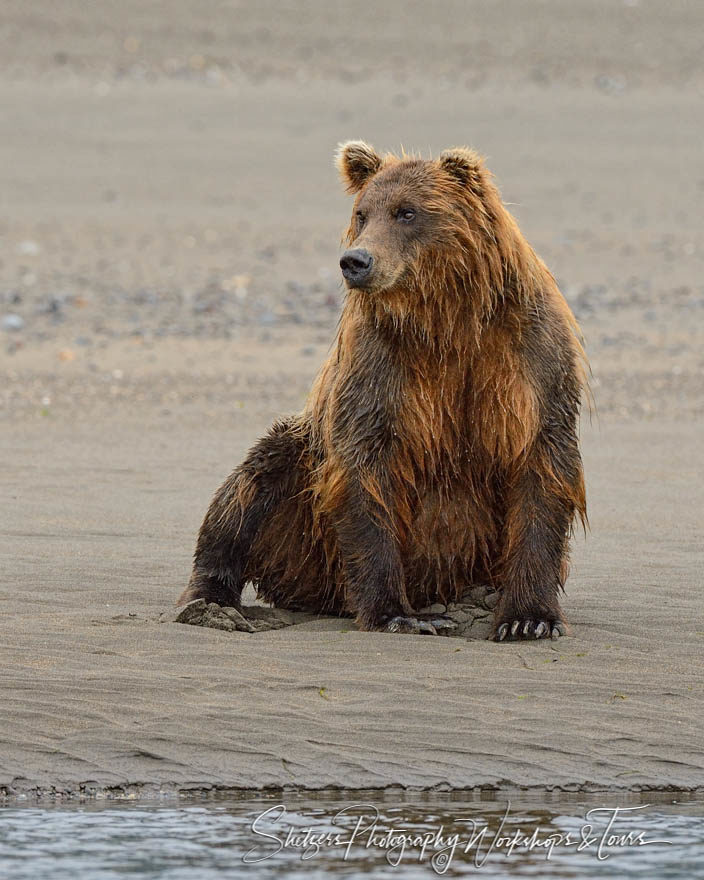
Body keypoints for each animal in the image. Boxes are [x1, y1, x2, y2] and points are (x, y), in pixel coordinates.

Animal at [177, 141, 588, 644]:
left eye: (407, 212)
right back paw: (213, 602)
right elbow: (365, 468)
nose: (355, 261)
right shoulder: (380, 364)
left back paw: (479, 598)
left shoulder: (529, 358)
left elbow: (541, 464)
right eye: (362, 212)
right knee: (251, 486)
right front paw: (398, 613)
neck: (445, 319)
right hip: (304, 497)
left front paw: (528, 617)